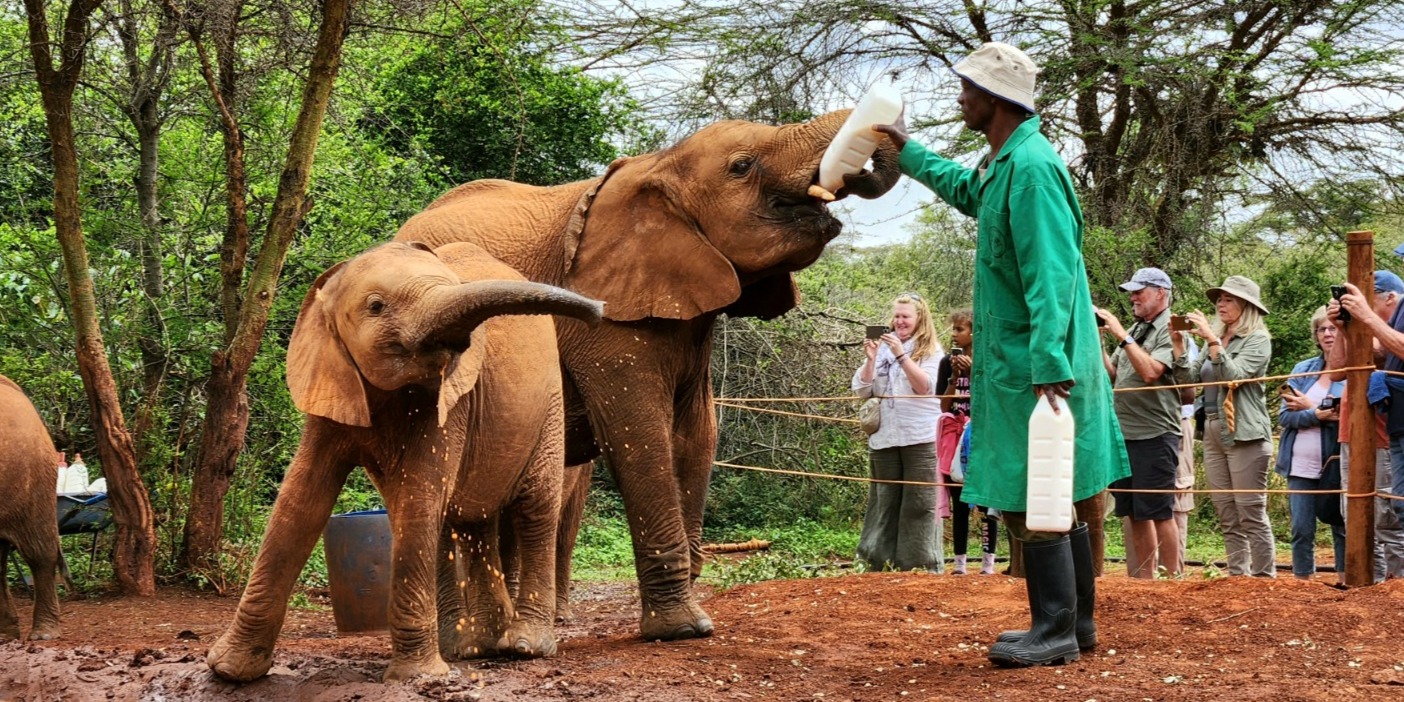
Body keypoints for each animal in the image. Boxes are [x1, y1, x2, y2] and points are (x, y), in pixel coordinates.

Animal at [205, 241, 603, 682]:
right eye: (376, 306)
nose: (600, 310)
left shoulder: (449, 401)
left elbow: (417, 496)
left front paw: (415, 677)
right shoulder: (334, 381)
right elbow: (301, 498)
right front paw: (228, 671)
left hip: (549, 405)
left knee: (532, 508)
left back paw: (522, 647)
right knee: (468, 519)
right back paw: (470, 647)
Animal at [395, 111, 902, 640]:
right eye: (741, 166)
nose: (863, 156)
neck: (660, 165)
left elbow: (697, 434)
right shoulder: (605, 320)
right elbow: (640, 435)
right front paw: (684, 629)